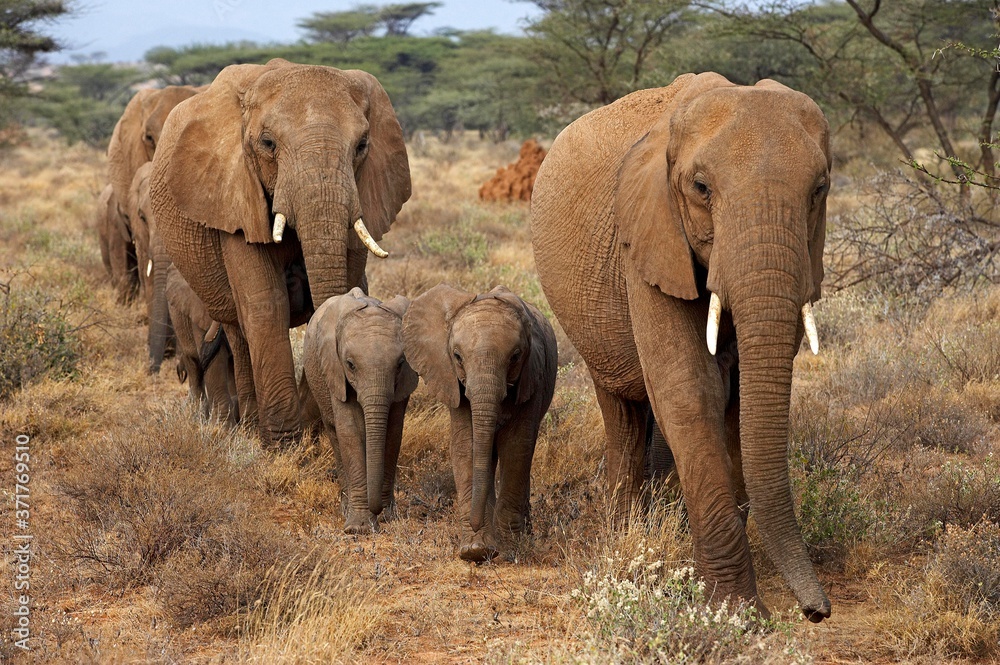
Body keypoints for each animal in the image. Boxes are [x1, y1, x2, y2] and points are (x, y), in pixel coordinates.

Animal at [147, 61, 410, 446]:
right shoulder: (236, 196)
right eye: (268, 144)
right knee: (237, 330)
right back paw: (248, 426)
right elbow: (265, 304)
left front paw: (312, 434)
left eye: (362, 145)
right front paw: (284, 447)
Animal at [300, 286, 418, 536]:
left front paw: (388, 517)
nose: (378, 509)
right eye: (350, 364)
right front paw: (359, 528)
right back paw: (346, 508)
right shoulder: (335, 371)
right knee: (335, 433)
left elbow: (393, 431)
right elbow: (350, 430)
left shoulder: (404, 382)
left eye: (400, 364)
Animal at [402, 284, 560, 560]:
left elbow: (517, 447)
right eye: (457, 356)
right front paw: (475, 550)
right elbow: (467, 446)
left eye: (515, 357)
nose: (475, 525)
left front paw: (510, 549)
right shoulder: (453, 382)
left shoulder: (532, 376)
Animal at [536, 74, 832, 624]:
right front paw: (737, 612)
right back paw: (625, 529)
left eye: (819, 189)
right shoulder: (647, 237)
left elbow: (737, 398)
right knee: (624, 409)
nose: (817, 611)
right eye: (701, 188)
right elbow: (689, 390)